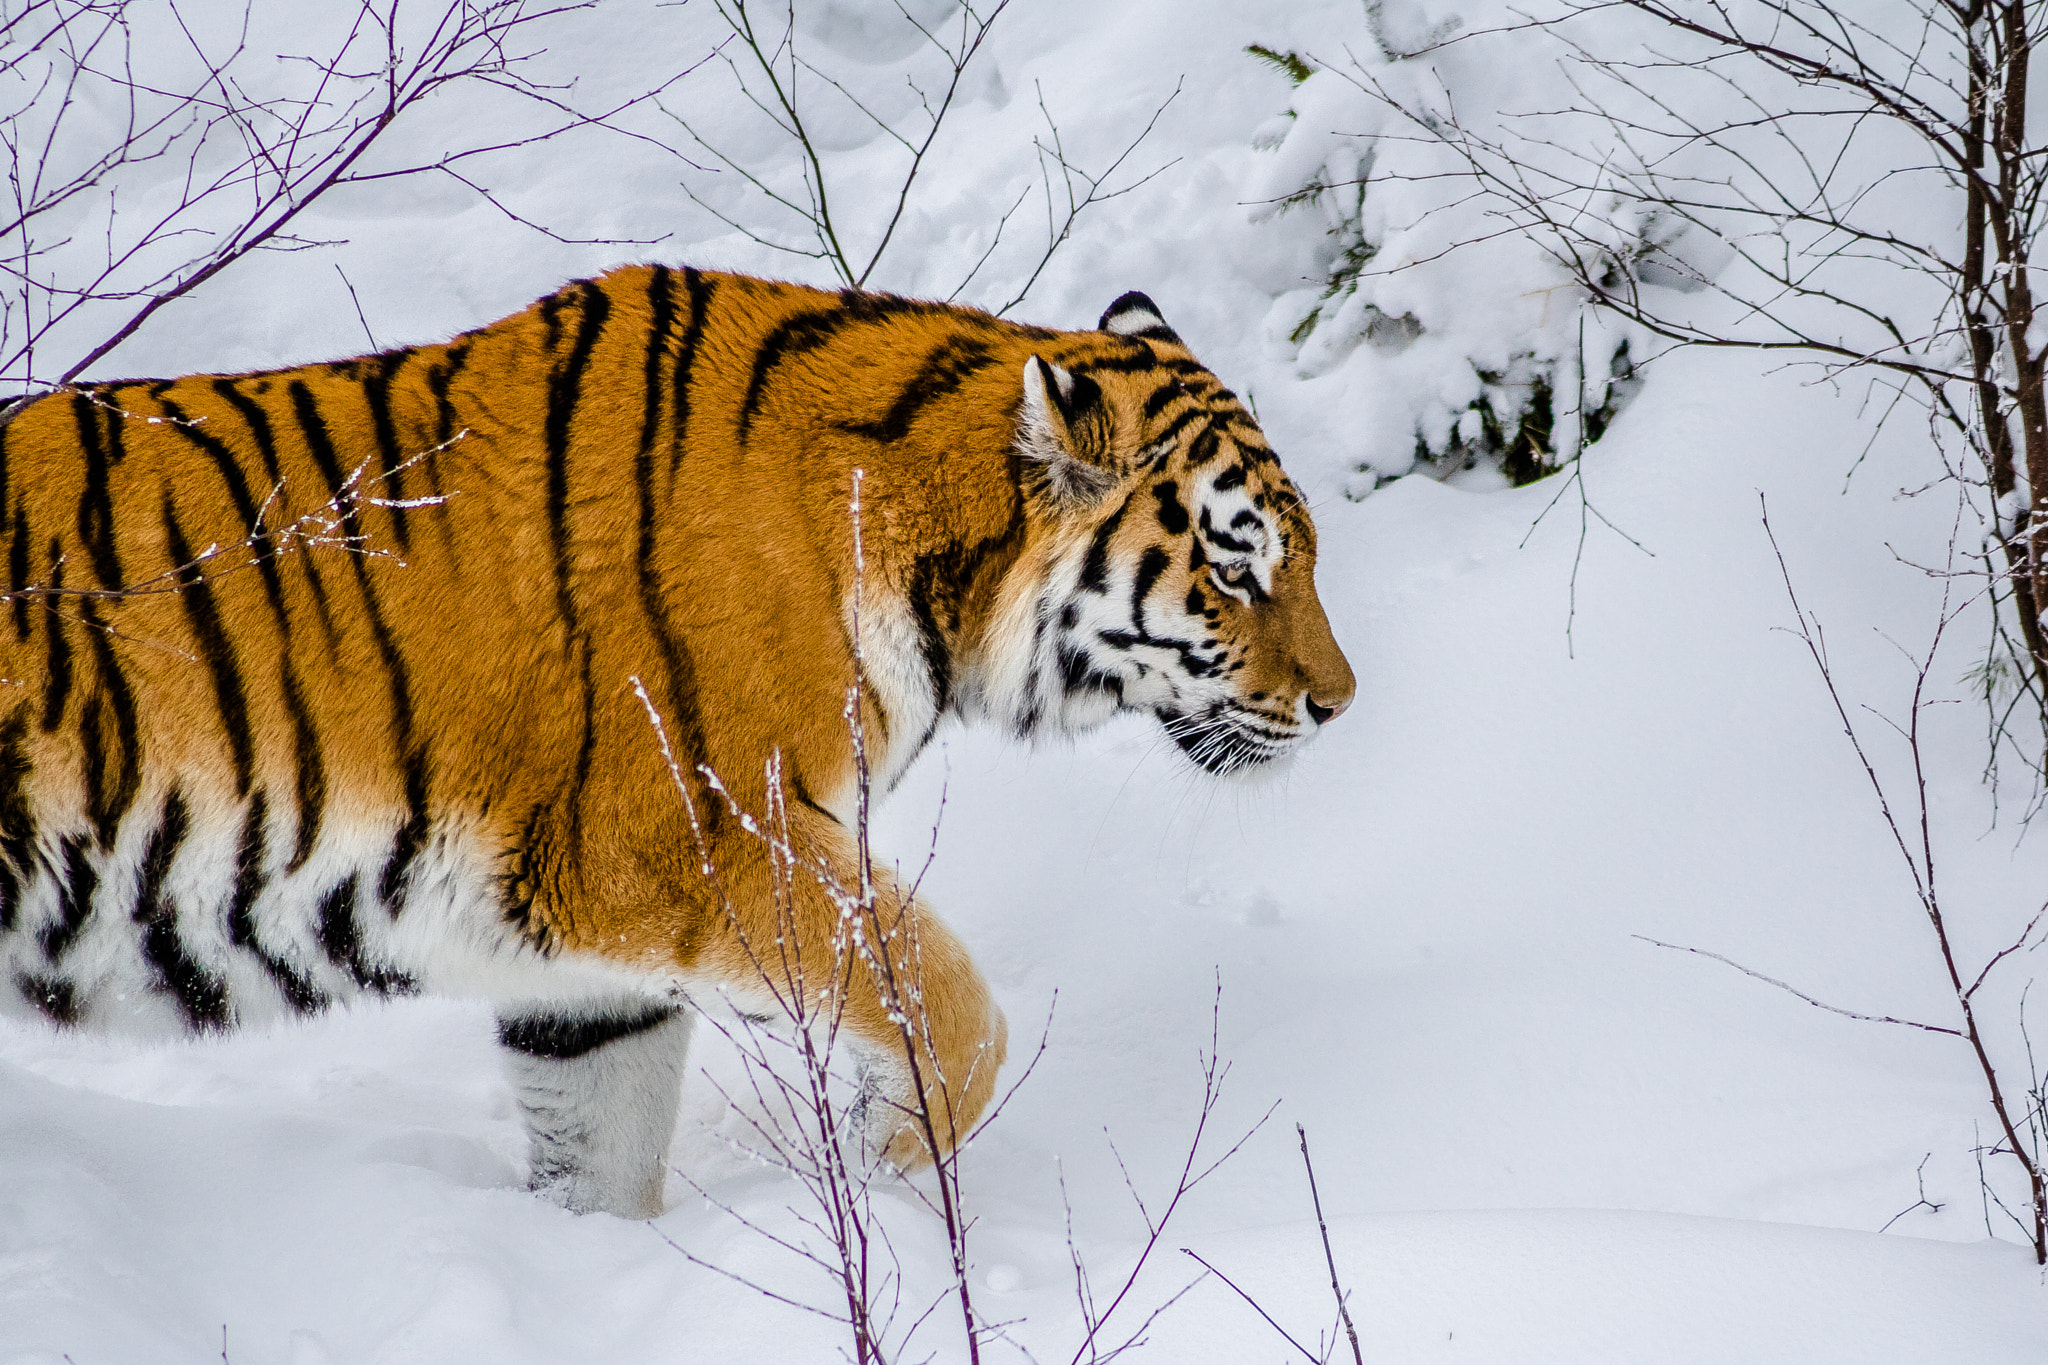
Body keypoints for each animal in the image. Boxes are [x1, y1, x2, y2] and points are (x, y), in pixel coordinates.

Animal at [0, 266, 1354, 1216]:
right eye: (1235, 569)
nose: (1340, 705)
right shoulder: (695, 846)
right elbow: (946, 1003)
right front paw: (887, 1165)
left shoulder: (575, 964)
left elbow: (602, 1144)